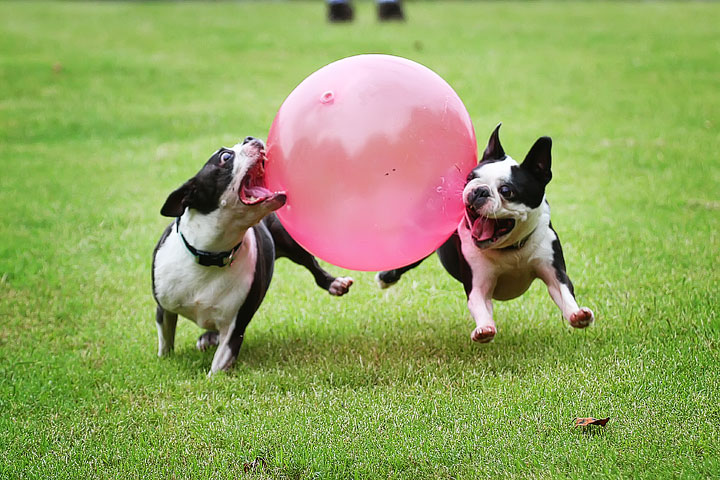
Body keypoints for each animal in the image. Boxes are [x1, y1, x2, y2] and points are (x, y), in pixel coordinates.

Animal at [153, 136, 354, 376]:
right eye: (225, 156)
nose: (250, 138)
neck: (211, 254)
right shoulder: (164, 308)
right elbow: (165, 341)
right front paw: (164, 362)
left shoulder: (234, 329)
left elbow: (216, 369)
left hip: (290, 241)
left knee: (312, 265)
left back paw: (335, 284)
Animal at [374, 124, 592, 342]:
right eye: (470, 178)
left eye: (506, 190)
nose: (479, 190)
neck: (510, 250)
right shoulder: (478, 284)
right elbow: (479, 304)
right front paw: (485, 329)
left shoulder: (553, 270)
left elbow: (564, 291)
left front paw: (577, 315)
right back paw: (386, 277)